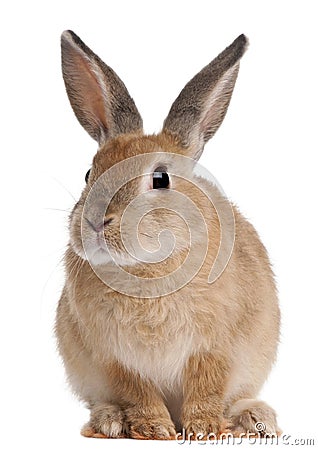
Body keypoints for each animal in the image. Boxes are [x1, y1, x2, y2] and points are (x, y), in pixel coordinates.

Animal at [56, 29, 280, 440]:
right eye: (88, 174)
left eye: (160, 178)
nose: (94, 223)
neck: (145, 269)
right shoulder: (116, 358)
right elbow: (138, 392)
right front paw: (155, 430)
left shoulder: (214, 348)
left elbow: (206, 387)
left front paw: (203, 429)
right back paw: (109, 422)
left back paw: (256, 420)